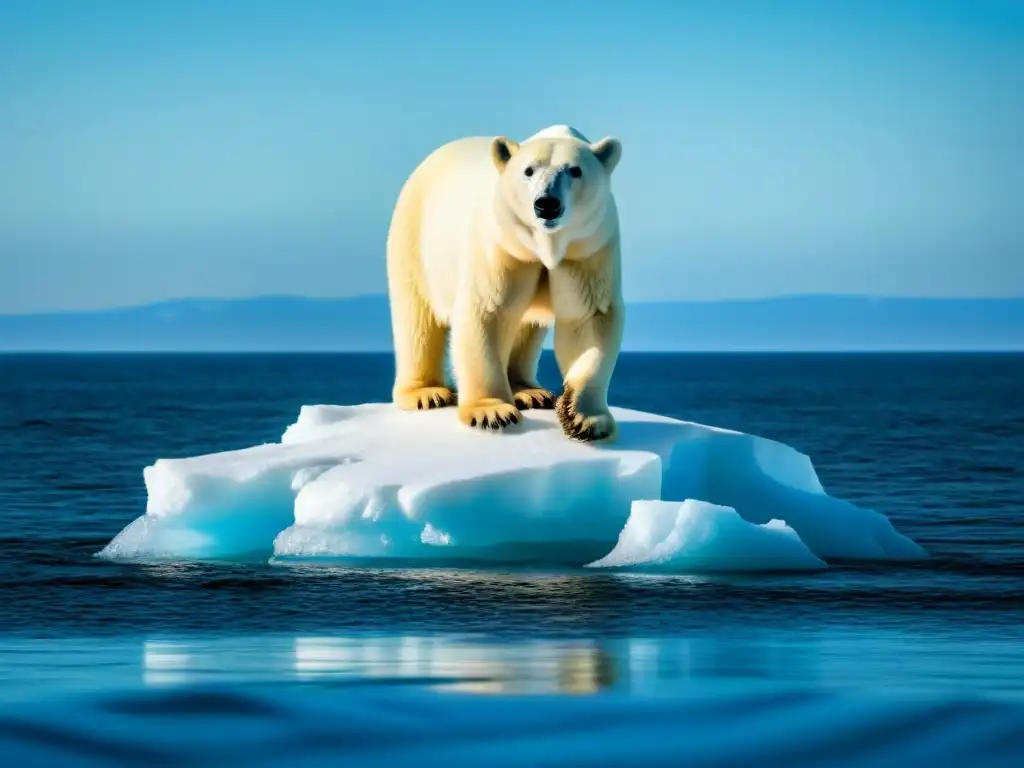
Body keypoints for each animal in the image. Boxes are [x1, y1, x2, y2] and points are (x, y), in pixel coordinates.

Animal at [385, 123, 618, 442]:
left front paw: (584, 418)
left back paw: (530, 392)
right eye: (528, 170)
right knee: (418, 319)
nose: (546, 204)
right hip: (415, 240)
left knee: (525, 328)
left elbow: (588, 319)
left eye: (575, 170)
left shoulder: (588, 248)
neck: (545, 246)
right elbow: (487, 312)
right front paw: (492, 412)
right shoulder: (502, 246)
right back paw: (426, 393)